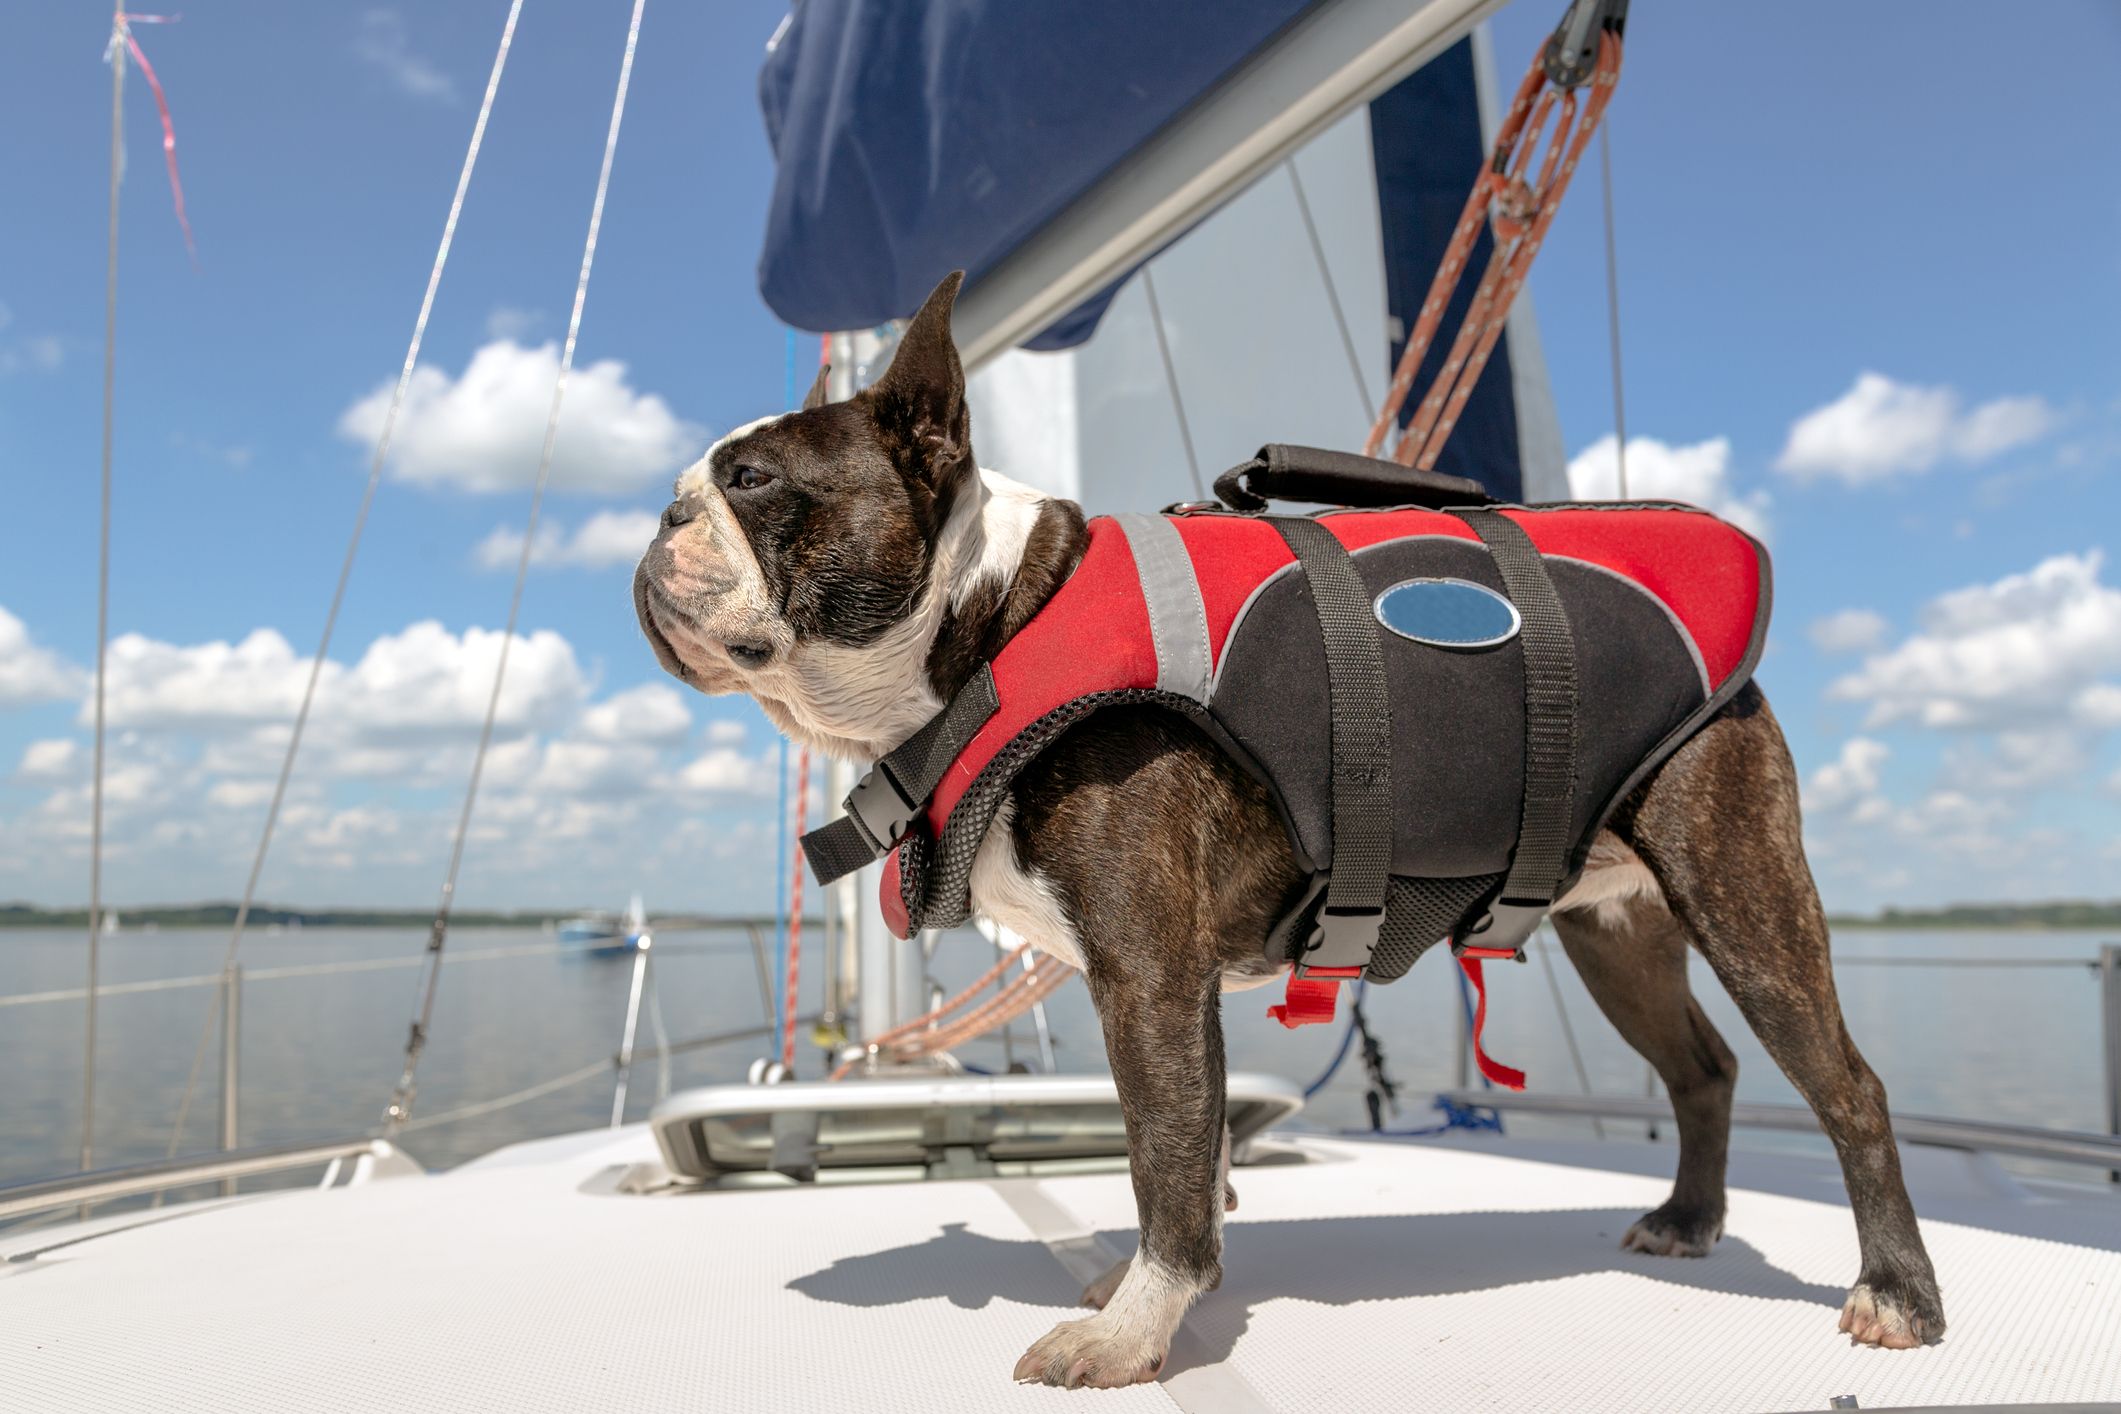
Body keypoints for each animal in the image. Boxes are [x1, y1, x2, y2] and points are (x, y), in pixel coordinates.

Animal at [627, 273, 1942, 1382]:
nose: (662, 514)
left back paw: (1897, 1293)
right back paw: (1687, 1220)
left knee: (1849, 1085)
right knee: (1702, 1067)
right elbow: (1198, 1149)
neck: (995, 625)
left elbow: (1164, 1151)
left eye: (752, 482)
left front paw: (1129, 1333)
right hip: (1616, 934)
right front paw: (1158, 1295)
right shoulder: (1181, 987)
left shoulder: (1145, 974)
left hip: (1740, 888)